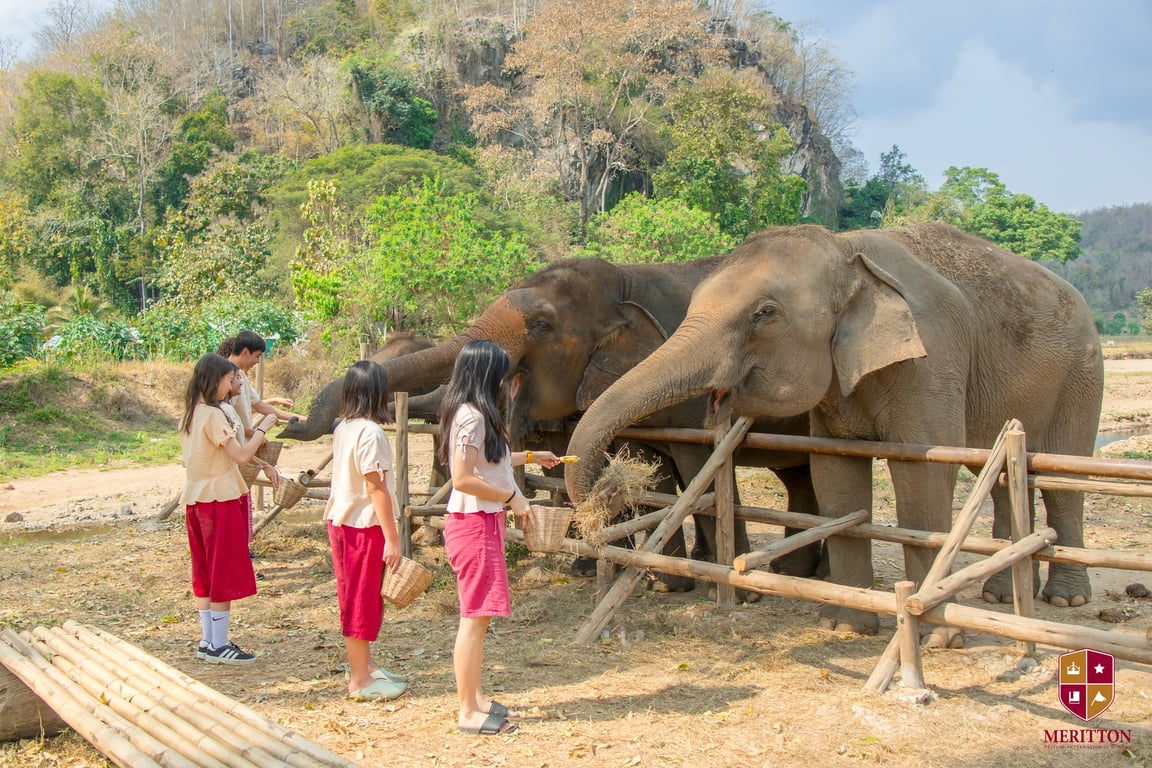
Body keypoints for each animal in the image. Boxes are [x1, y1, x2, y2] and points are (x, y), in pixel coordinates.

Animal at [282, 257, 820, 587]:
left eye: (542, 326)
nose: (287, 425)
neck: (624, 279)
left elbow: (692, 462)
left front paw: (698, 584)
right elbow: (636, 465)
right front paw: (642, 577)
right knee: (802, 477)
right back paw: (799, 570)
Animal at [565, 223, 1103, 644]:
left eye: (765, 313)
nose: (604, 498)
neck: (849, 256)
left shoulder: (932, 359)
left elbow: (921, 470)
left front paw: (937, 637)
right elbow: (835, 471)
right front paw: (844, 626)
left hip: (1082, 376)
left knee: (1062, 479)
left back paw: (1066, 601)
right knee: (1006, 476)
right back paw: (1002, 594)